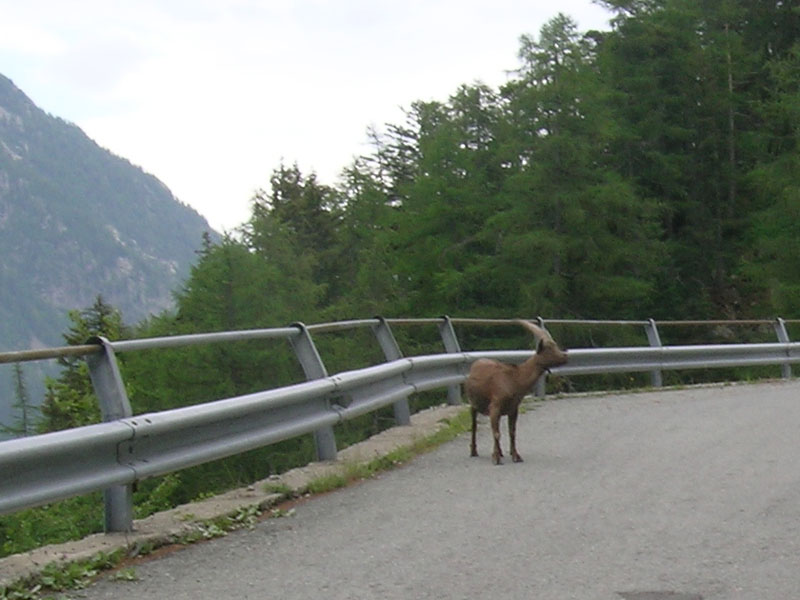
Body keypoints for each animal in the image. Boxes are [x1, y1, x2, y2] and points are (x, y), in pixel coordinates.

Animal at [462, 318, 568, 464]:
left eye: (555, 345)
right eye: (549, 349)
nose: (565, 356)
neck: (515, 379)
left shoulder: (513, 408)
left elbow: (512, 432)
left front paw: (516, 456)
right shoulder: (495, 405)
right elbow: (496, 433)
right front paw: (496, 458)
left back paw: (500, 452)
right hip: (473, 404)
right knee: (474, 426)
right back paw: (474, 451)